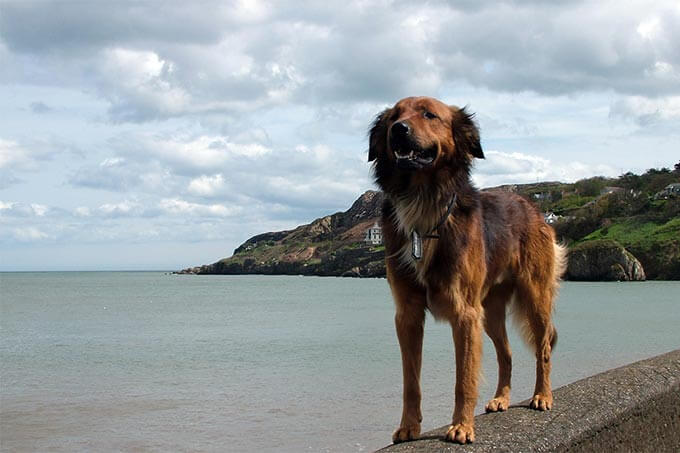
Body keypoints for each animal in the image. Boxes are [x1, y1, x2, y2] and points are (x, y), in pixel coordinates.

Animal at [370, 96, 564, 442]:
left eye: (429, 114)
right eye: (394, 116)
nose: (398, 130)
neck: (423, 204)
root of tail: (532, 208)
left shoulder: (464, 314)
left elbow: (464, 378)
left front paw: (461, 426)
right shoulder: (408, 315)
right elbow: (411, 381)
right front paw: (409, 426)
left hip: (535, 298)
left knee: (543, 349)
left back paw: (542, 395)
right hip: (490, 311)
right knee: (506, 353)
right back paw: (502, 398)